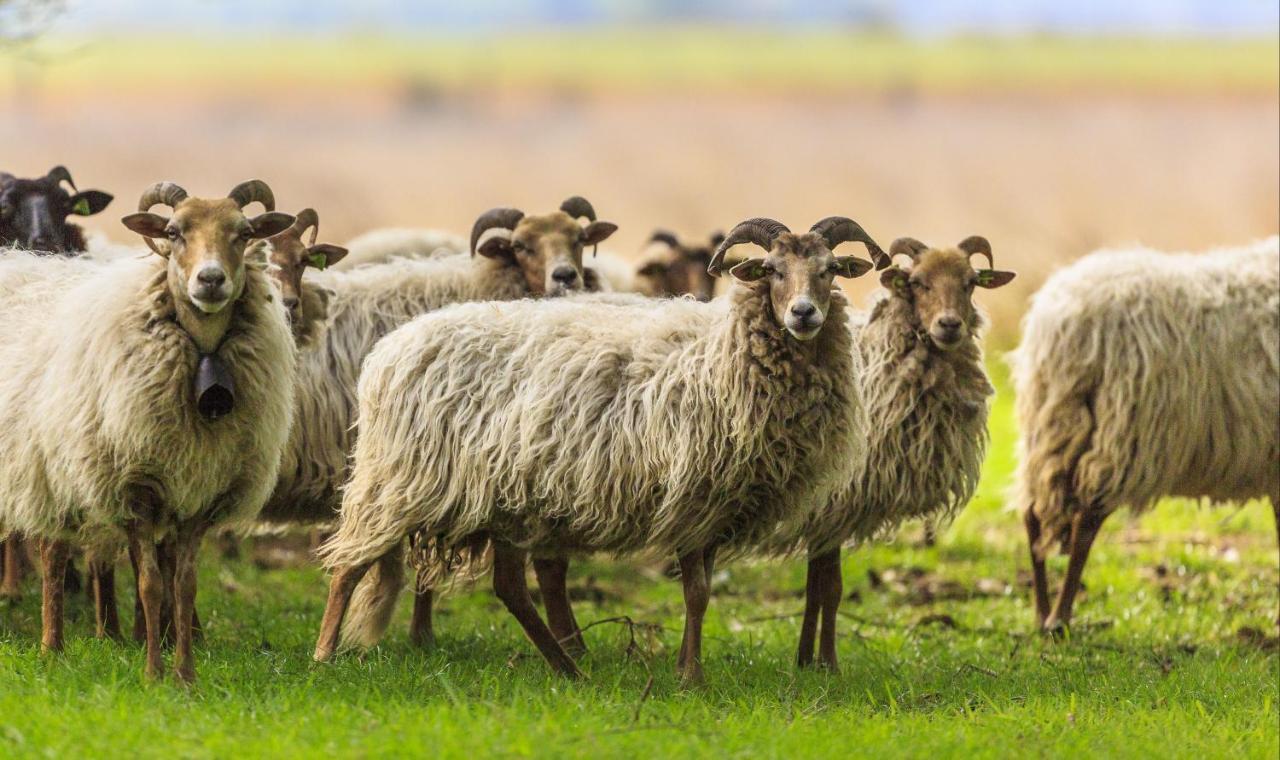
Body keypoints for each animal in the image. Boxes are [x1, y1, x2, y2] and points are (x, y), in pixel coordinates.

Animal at [0, 179, 296, 680]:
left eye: (244, 232)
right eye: (174, 232)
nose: (211, 280)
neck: (202, 356)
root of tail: (24, 265)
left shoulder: (200, 494)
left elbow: (184, 584)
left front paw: (186, 674)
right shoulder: (135, 487)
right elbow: (151, 584)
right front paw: (154, 673)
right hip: (48, 470)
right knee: (53, 555)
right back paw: (51, 646)